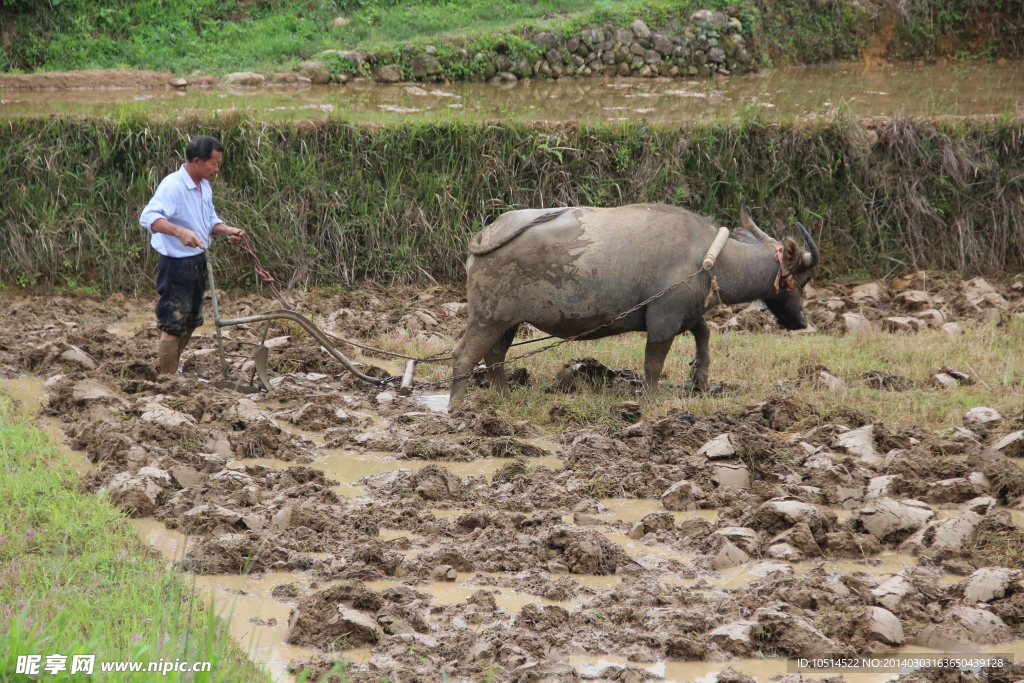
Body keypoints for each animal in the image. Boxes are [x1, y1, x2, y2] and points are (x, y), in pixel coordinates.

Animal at [452, 202, 819, 405]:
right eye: (804, 278)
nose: (801, 322)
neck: (710, 258)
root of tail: (486, 235)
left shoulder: (686, 312)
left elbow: (704, 335)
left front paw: (700, 379)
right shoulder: (663, 320)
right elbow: (653, 363)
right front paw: (652, 399)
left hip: (507, 321)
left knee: (495, 356)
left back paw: (503, 395)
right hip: (486, 318)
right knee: (465, 356)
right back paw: (456, 406)